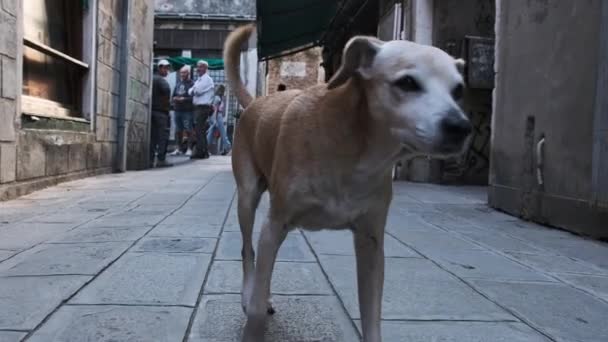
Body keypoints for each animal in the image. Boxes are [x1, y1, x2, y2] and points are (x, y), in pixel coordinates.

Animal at [222, 24, 470, 342]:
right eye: (407, 82)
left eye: (458, 90)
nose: (461, 127)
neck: (354, 150)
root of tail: (255, 102)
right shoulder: (274, 225)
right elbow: (255, 310)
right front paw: (253, 319)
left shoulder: (371, 243)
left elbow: (372, 318)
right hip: (247, 198)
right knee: (248, 251)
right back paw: (249, 294)